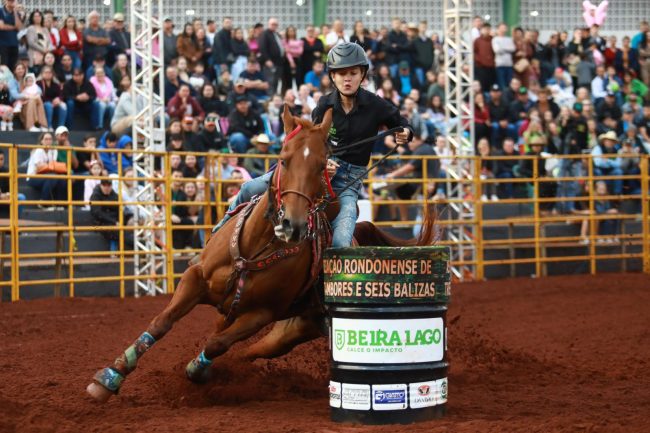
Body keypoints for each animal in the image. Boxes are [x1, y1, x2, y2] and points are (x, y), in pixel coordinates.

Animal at [85, 105, 430, 402]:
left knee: (250, 350)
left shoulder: (261, 314)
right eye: (284, 159)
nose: (291, 224)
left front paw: (197, 370)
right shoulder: (195, 278)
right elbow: (162, 322)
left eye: (321, 165)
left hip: (298, 326)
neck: (255, 246)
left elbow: (217, 343)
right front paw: (110, 377)